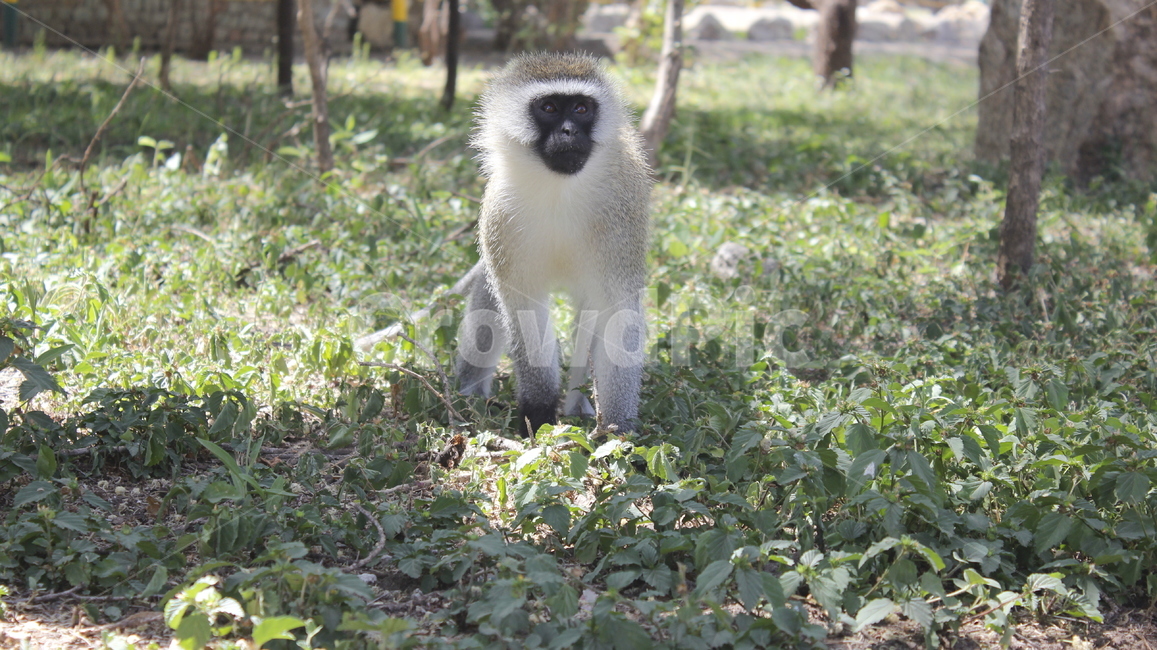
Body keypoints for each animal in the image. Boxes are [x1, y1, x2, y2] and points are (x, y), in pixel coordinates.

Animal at [455, 52, 653, 437]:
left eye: (580, 108)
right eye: (548, 107)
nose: (569, 131)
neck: (558, 190)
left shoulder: (621, 217)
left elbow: (617, 314)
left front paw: (617, 431)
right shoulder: (500, 220)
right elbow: (523, 309)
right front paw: (539, 411)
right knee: (488, 298)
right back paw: (468, 394)